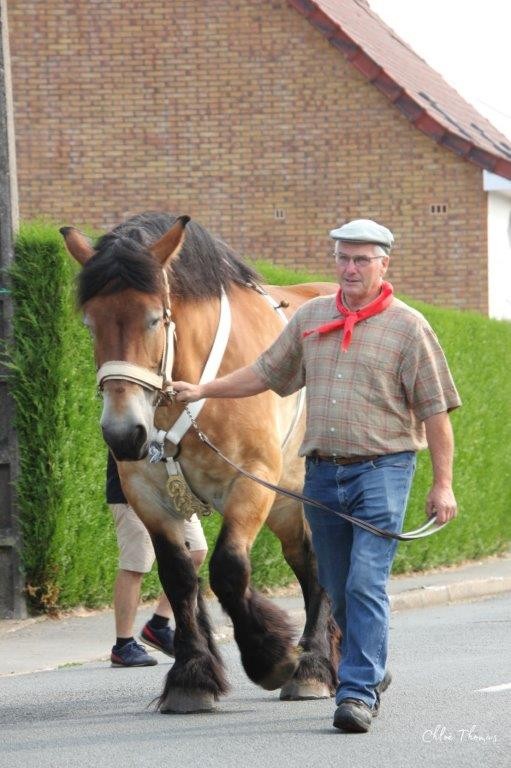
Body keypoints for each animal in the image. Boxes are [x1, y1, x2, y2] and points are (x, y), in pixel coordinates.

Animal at [61, 212, 340, 712]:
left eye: (154, 318)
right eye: (90, 324)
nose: (122, 433)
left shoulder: (253, 483)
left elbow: (228, 569)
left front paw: (270, 657)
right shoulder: (147, 495)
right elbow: (178, 576)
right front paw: (192, 676)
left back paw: (312, 667)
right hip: (288, 503)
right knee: (307, 561)